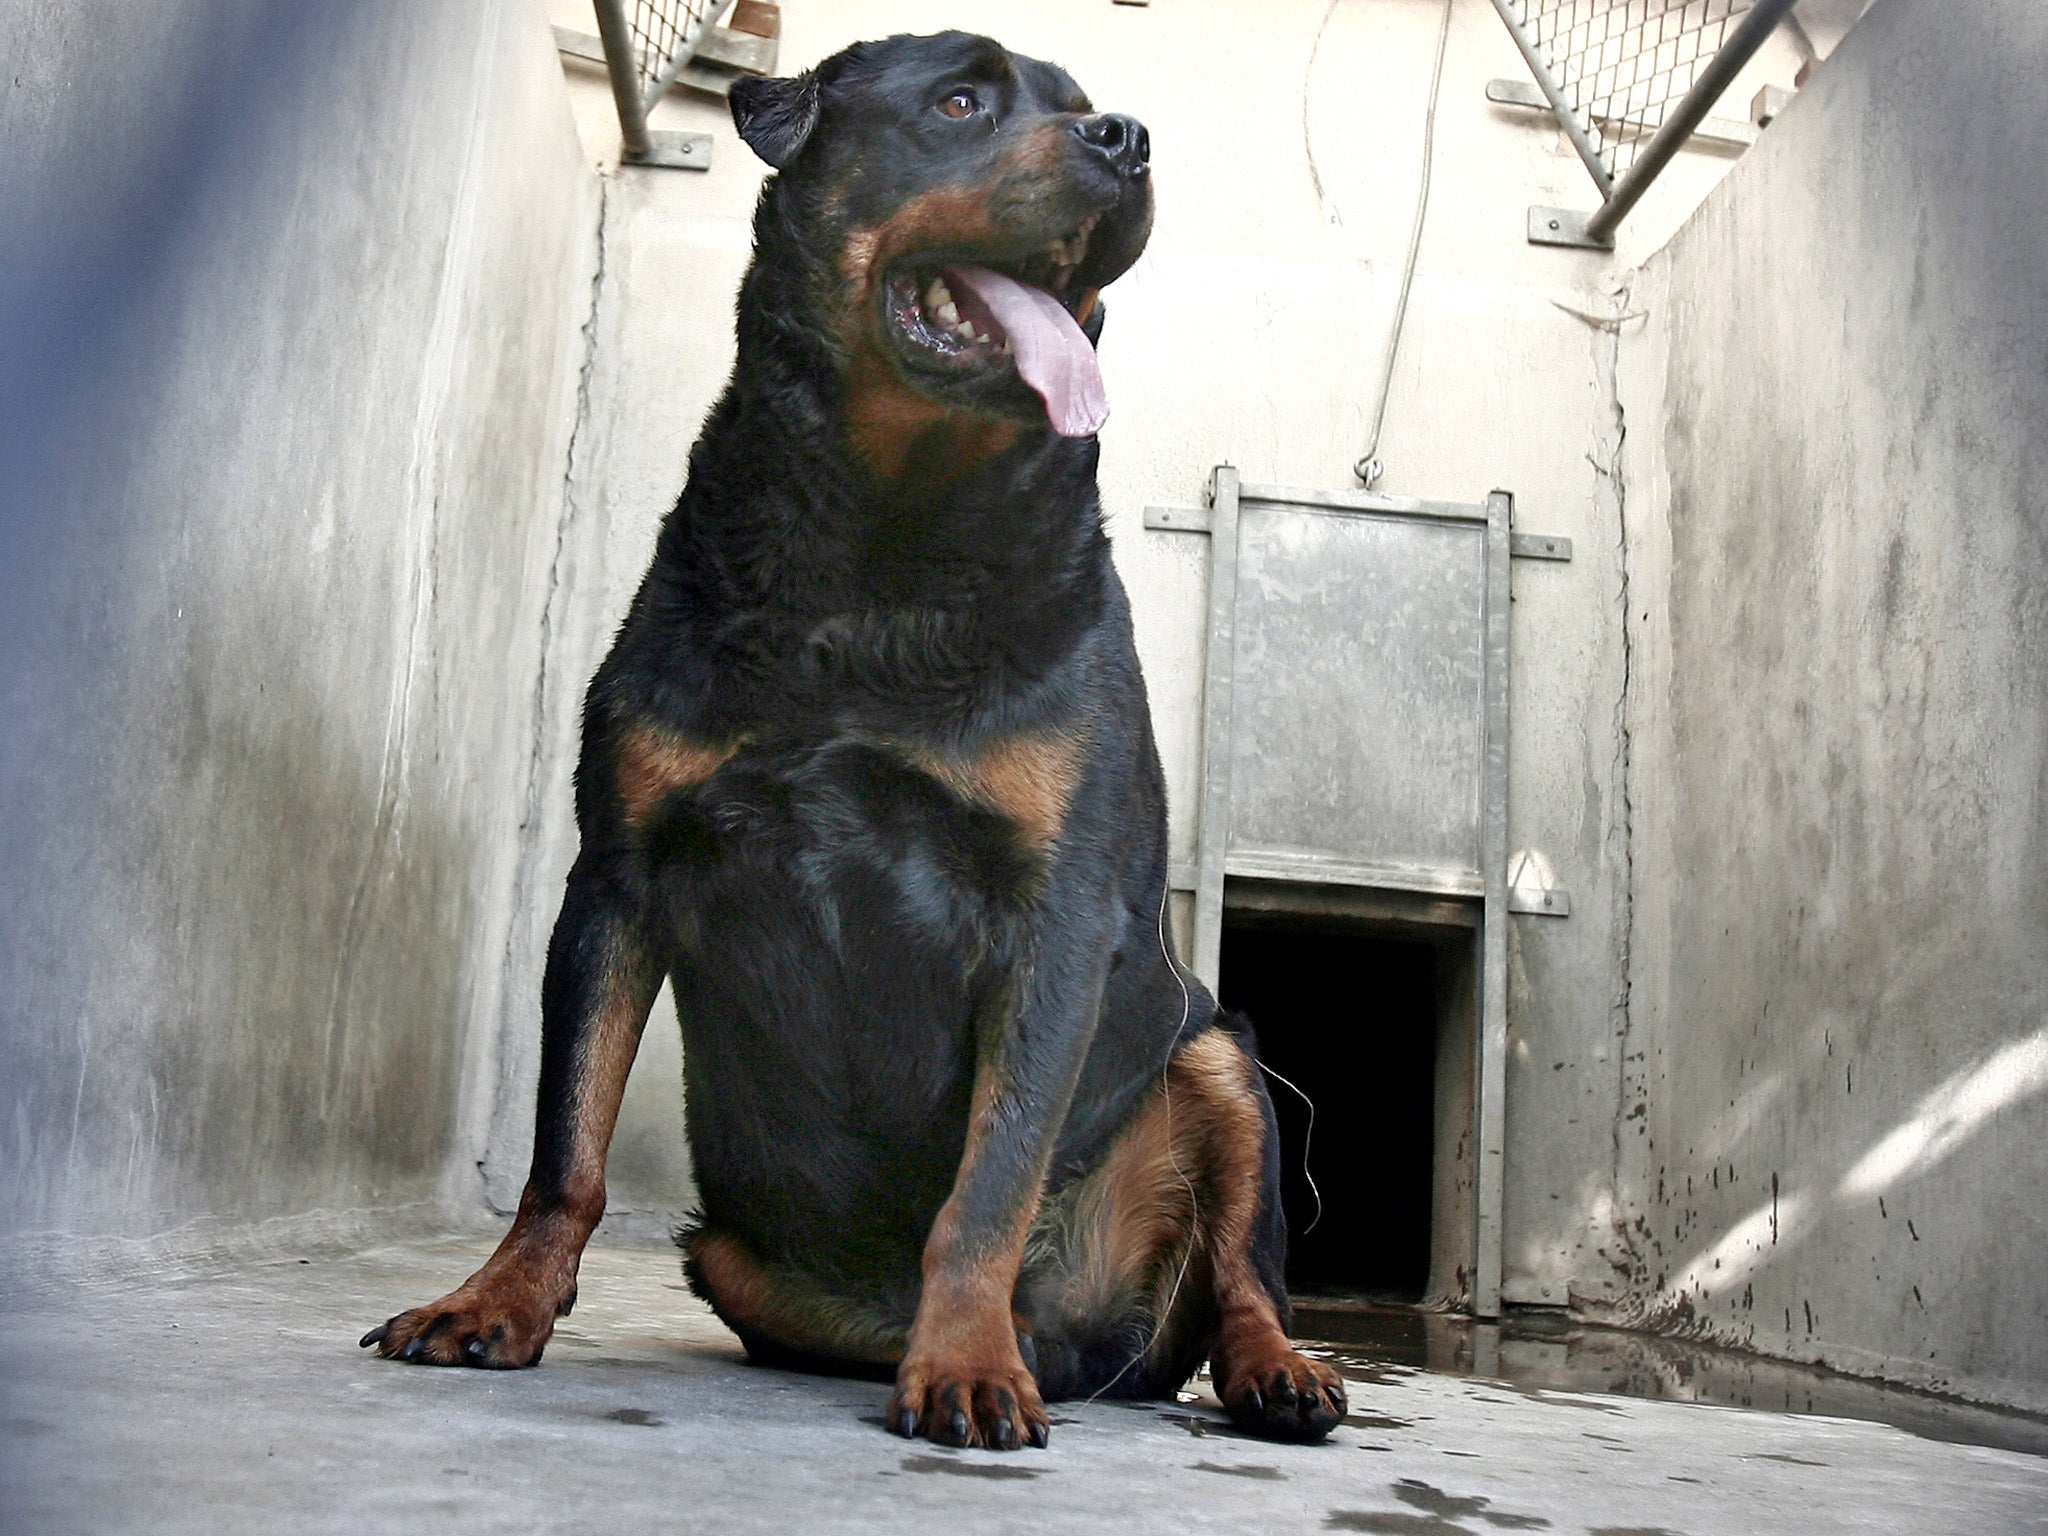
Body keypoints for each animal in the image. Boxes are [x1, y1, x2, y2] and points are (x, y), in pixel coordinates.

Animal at [366, 33, 1343, 1458]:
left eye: (1078, 103)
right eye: (960, 100)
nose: (1125, 137)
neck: (880, 553)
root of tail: (1086, 1343)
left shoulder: (1055, 917)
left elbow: (991, 1180)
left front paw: (967, 1362)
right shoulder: (615, 876)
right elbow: (567, 1152)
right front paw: (497, 1301)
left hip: (1219, 1058)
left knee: (1239, 1276)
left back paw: (1267, 1373)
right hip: (733, 1253)